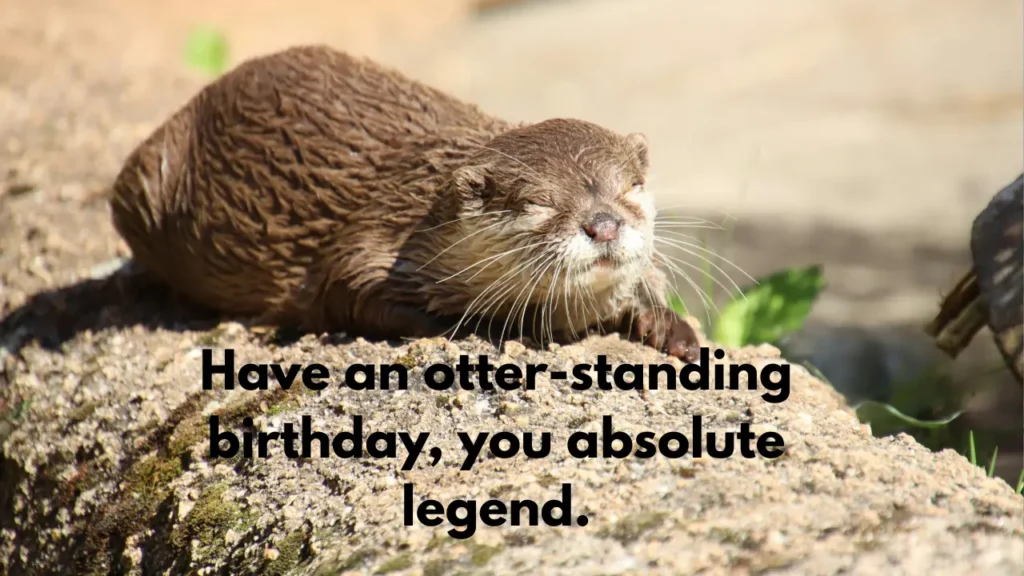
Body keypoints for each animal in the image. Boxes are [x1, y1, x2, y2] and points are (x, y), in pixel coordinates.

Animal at [110, 45, 700, 361]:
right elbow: (353, 292)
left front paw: (669, 327)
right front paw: (498, 326)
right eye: (539, 203)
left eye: (628, 188)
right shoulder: (369, 244)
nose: (603, 224)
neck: (418, 213)